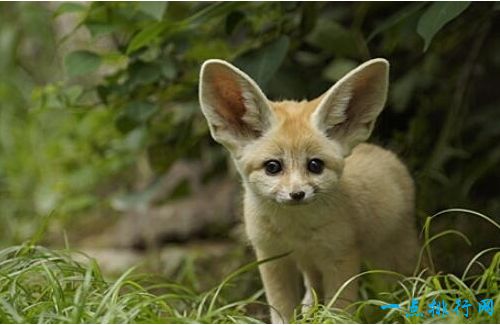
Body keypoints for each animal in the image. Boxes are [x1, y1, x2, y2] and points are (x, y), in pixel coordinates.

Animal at [198, 57, 418, 322]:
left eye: (315, 165)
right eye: (273, 167)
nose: (297, 194)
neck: (296, 232)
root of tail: (382, 151)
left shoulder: (341, 257)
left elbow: (339, 311)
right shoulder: (272, 257)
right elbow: (282, 312)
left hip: (393, 256)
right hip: (312, 268)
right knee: (312, 296)